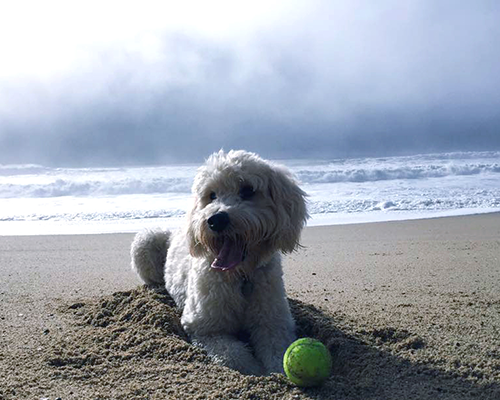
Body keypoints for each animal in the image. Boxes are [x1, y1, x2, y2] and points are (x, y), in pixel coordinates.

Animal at [131, 149, 306, 376]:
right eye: (211, 195)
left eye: (248, 190)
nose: (216, 220)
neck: (240, 276)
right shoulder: (206, 329)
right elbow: (235, 356)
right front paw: (256, 371)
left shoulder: (274, 323)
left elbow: (279, 350)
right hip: (146, 243)